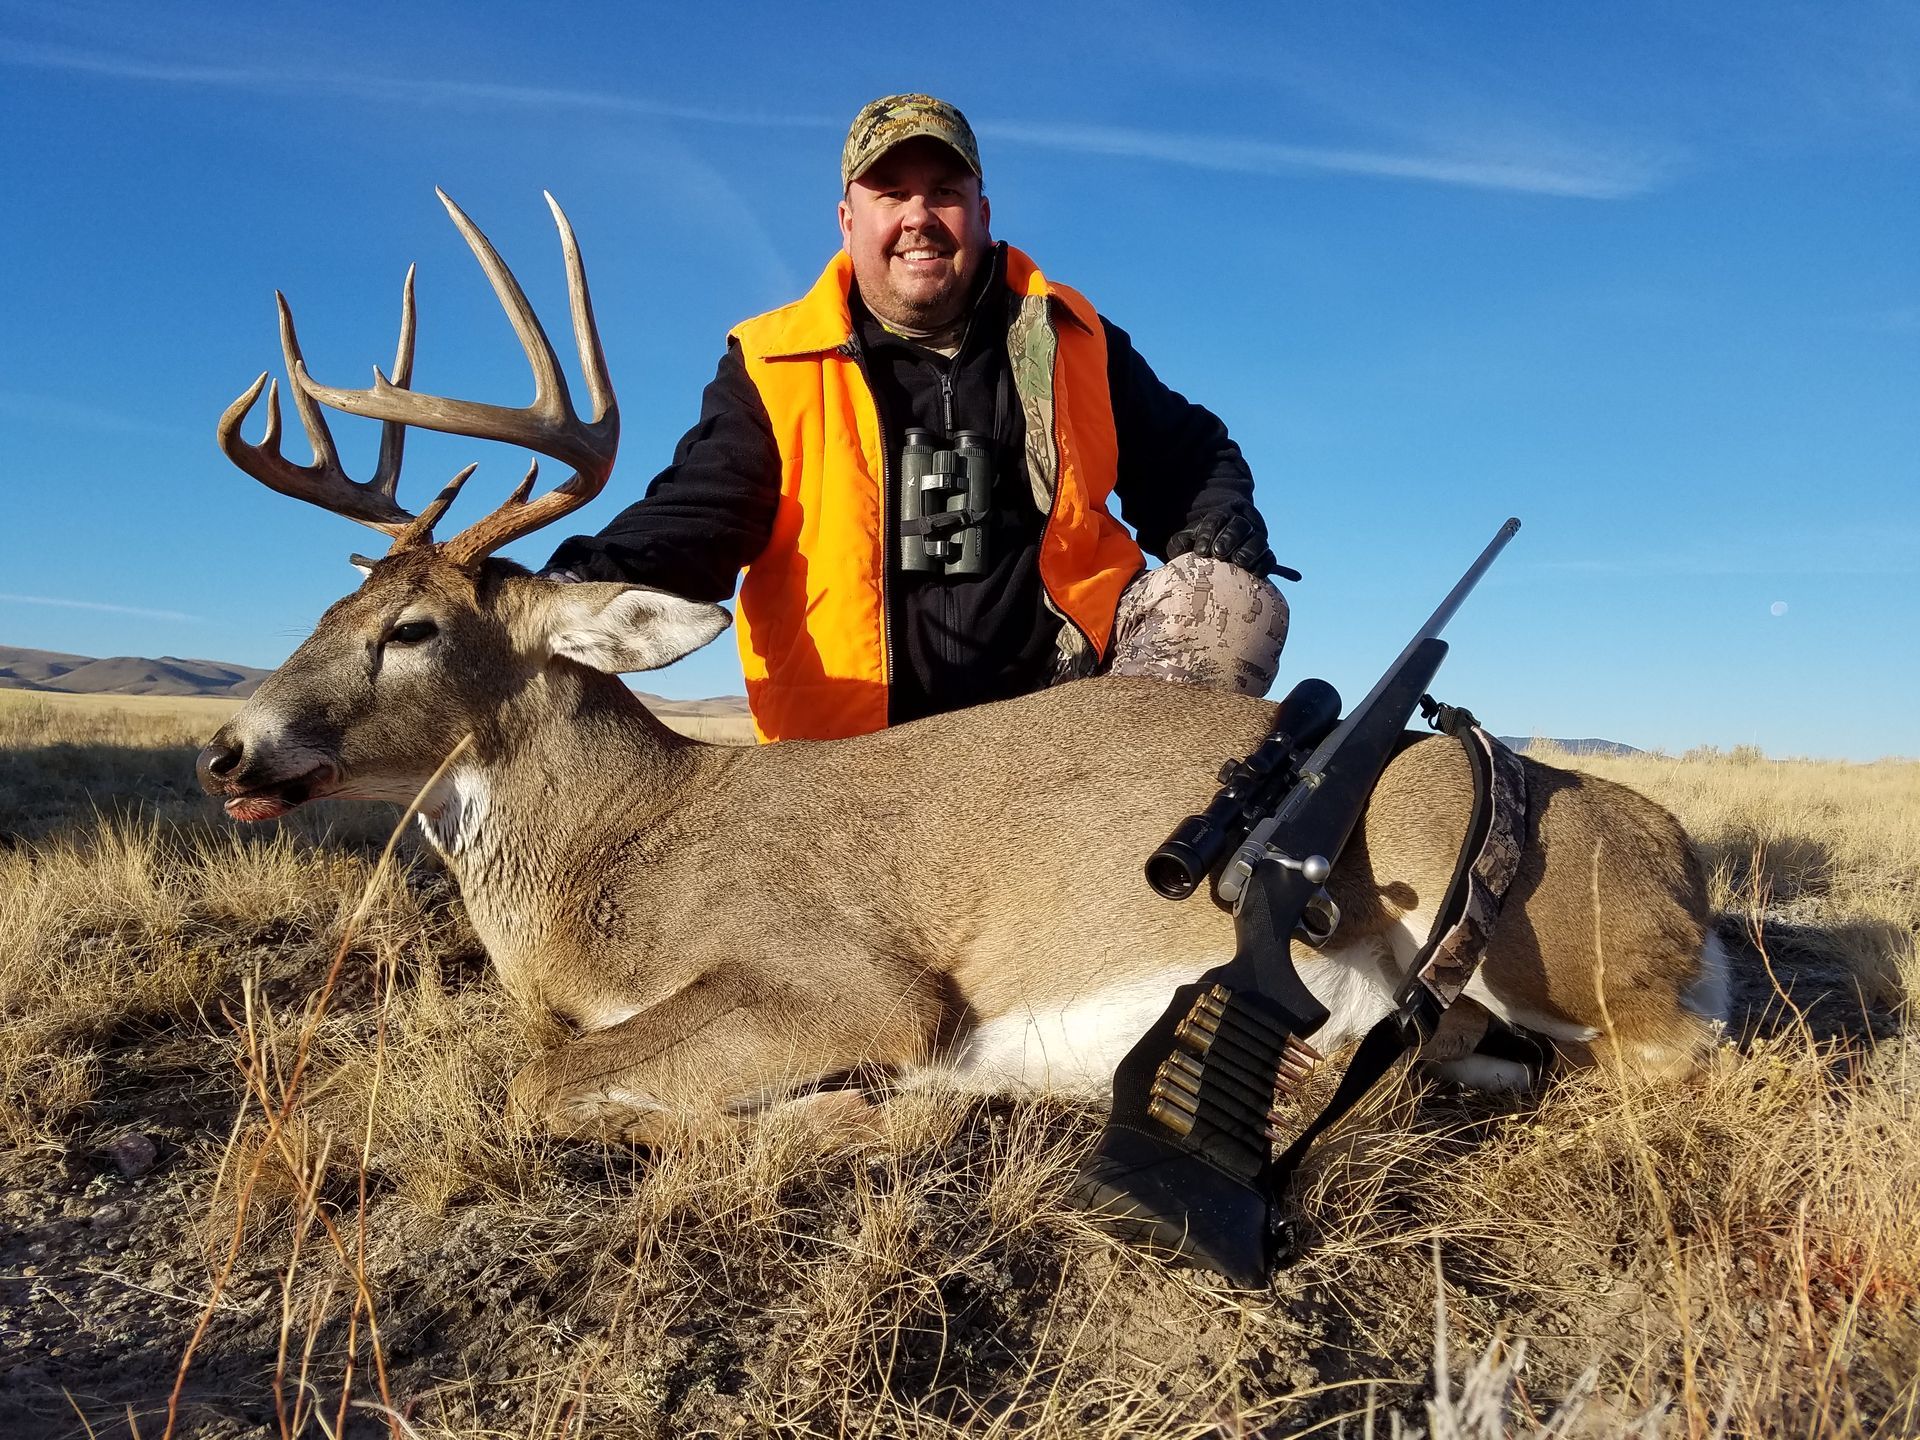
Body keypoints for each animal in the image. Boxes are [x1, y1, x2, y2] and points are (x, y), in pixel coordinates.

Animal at [198, 193, 1731, 1150]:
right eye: (335, 607)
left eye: (416, 629)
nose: (230, 747)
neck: (618, 857)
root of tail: (1681, 860)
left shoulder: (852, 979)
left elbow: (547, 1079)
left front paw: (864, 1115)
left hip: (1551, 939)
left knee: (1674, 1053)